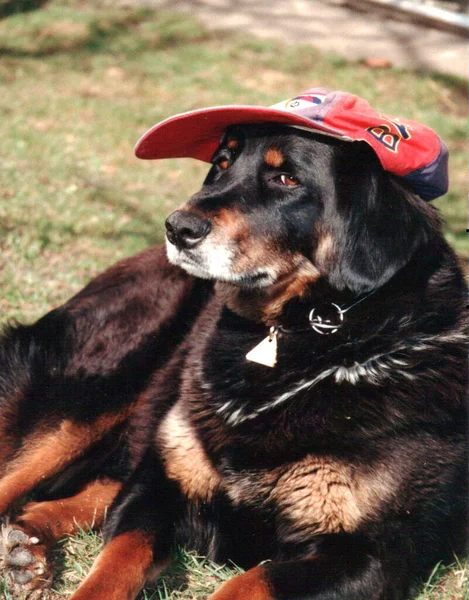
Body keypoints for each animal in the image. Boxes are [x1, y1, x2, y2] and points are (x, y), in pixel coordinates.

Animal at [0, 89, 466, 600]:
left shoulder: (370, 555)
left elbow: (247, 582)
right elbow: (115, 561)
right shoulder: (157, 486)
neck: (309, 335)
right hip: (93, 394)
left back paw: (28, 546)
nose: (177, 227)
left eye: (286, 178)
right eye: (222, 164)